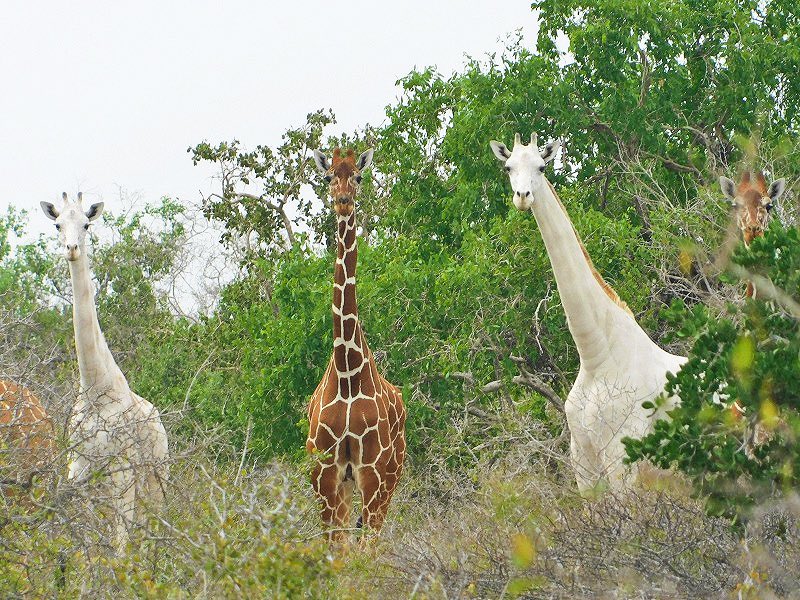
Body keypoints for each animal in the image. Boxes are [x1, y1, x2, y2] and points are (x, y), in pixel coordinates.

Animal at [41, 193, 169, 549]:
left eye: (86, 224)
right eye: (57, 225)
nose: (71, 249)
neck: (95, 385)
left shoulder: (121, 469)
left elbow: (120, 544)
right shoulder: (80, 469)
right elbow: (84, 542)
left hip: (155, 475)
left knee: (149, 532)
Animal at [307, 148, 406, 540]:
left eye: (359, 177)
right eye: (328, 176)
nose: (343, 200)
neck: (348, 374)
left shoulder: (373, 473)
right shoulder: (325, 475)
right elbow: (337, 548)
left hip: (390, 478)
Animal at [491, 133, 687, 492]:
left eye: (542, 167)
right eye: (508, 167)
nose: (523, 198)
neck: (598, 357)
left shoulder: (622, 462)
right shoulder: (583, 464)